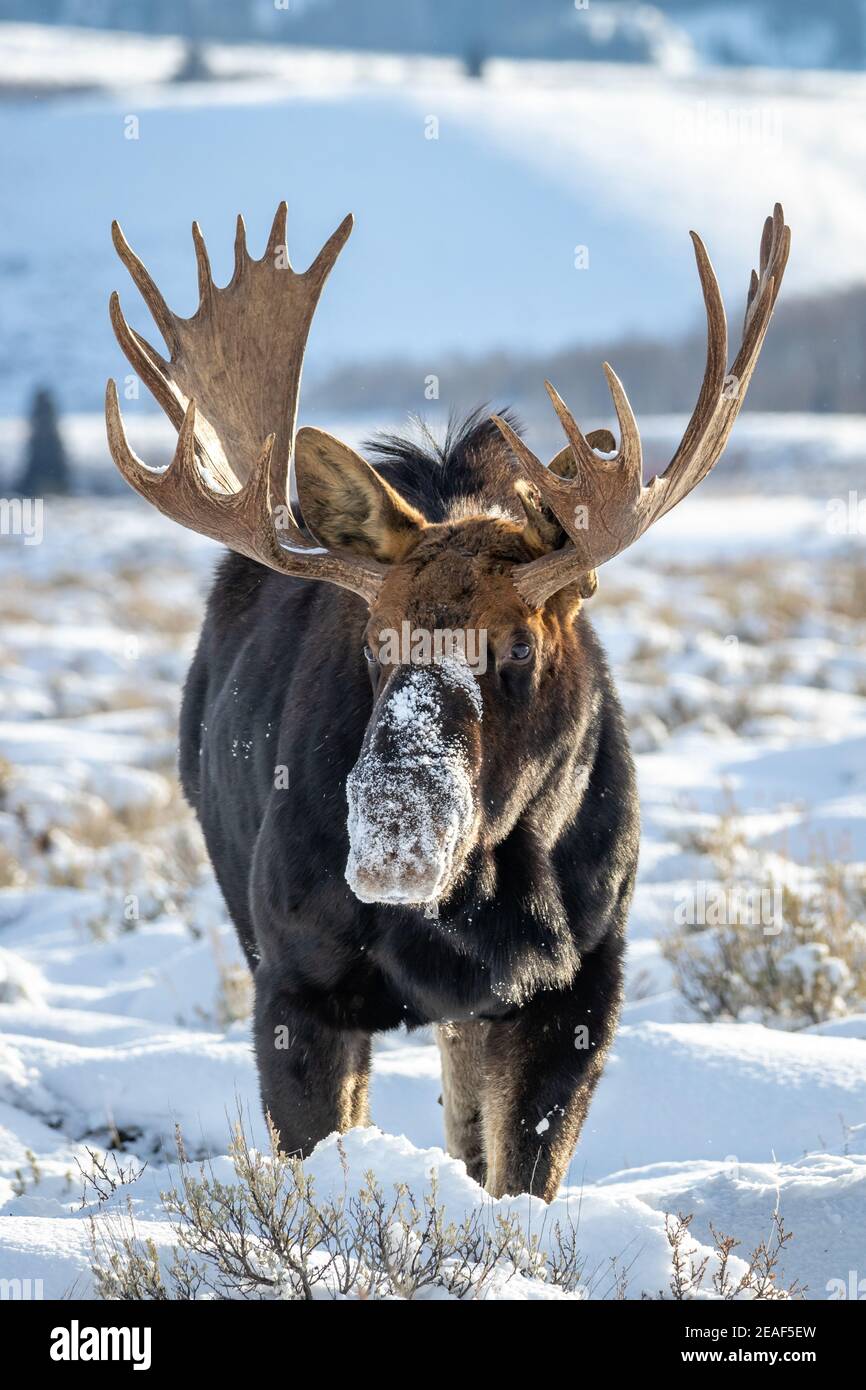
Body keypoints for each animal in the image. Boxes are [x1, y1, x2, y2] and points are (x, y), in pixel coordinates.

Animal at [104, 201, 789, 1200]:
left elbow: (522, 1173)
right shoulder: (295, 981)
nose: (395, 833)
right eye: (373, 640)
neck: (482, 904)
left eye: (518, 644)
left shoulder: (580, 984)